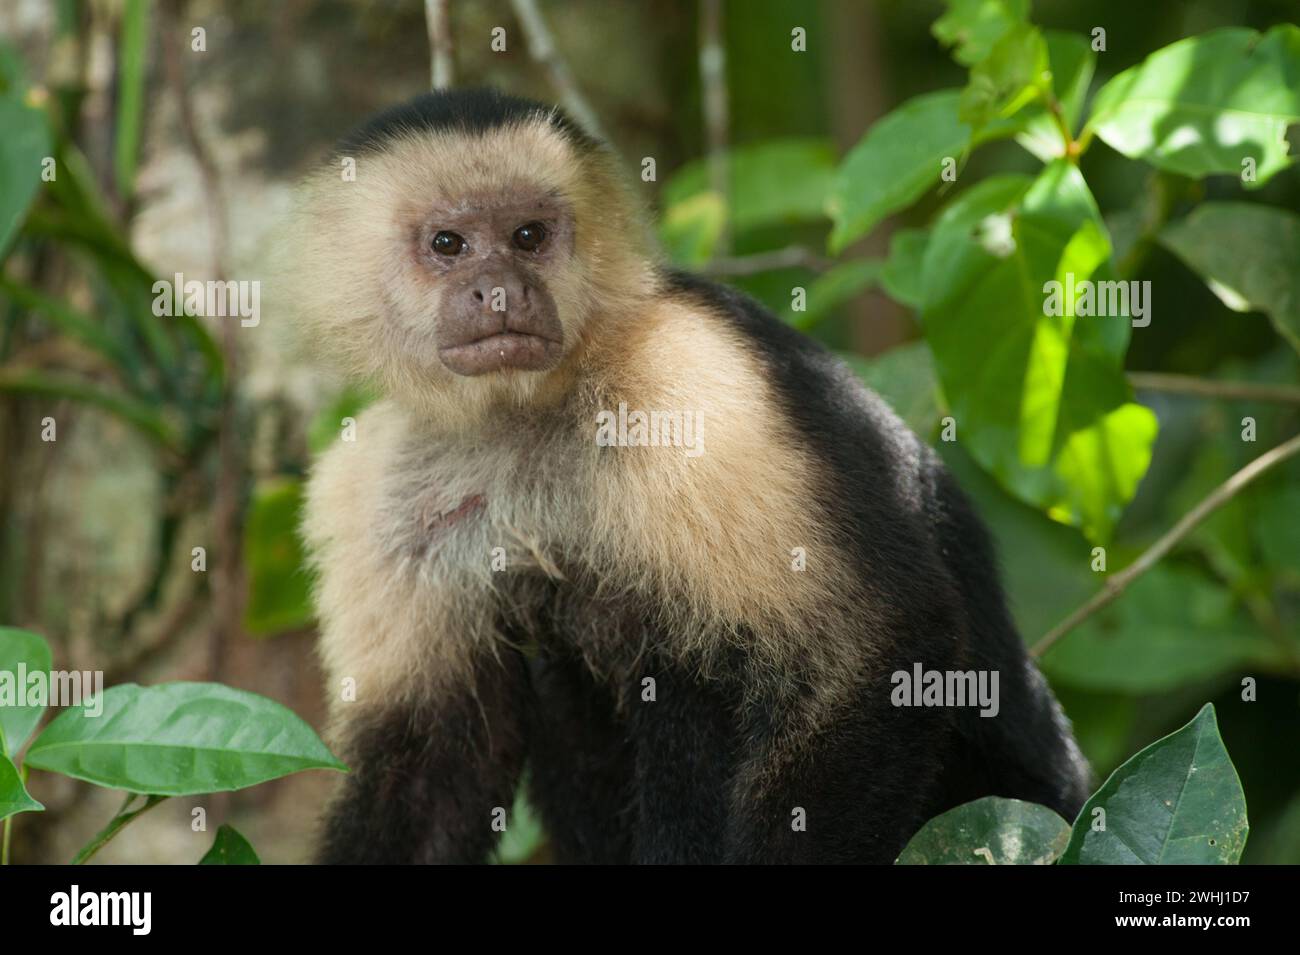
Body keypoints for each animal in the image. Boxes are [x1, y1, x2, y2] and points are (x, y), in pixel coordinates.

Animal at [282, 89, 1086, 867]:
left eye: (529, 236)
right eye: (448, 245)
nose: (499, 291)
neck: (522, 415)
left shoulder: (685, 379)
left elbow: (876, 642)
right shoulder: (371, 484)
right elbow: (432, 760)